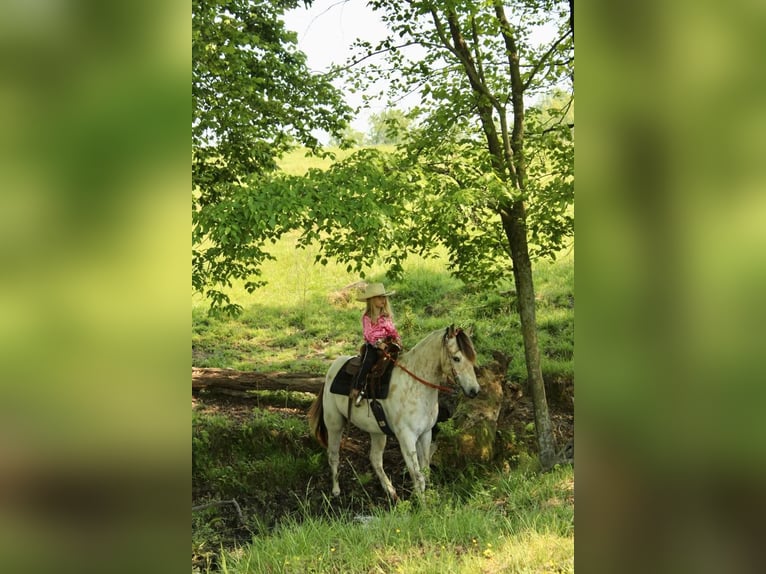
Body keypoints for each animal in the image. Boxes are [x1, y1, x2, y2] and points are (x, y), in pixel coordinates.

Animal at [308, 326, 480, 502]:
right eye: (457, 358)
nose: (474, 391)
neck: (414, 385)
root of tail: (332, 369)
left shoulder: (426, 433)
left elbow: (425, 470)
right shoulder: (407, 437)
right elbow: (418, 476)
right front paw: (423, 505)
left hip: (377, 431)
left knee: (375, 459)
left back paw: (390, 491)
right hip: (334, 425)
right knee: (333, 455)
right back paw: (336, 490)